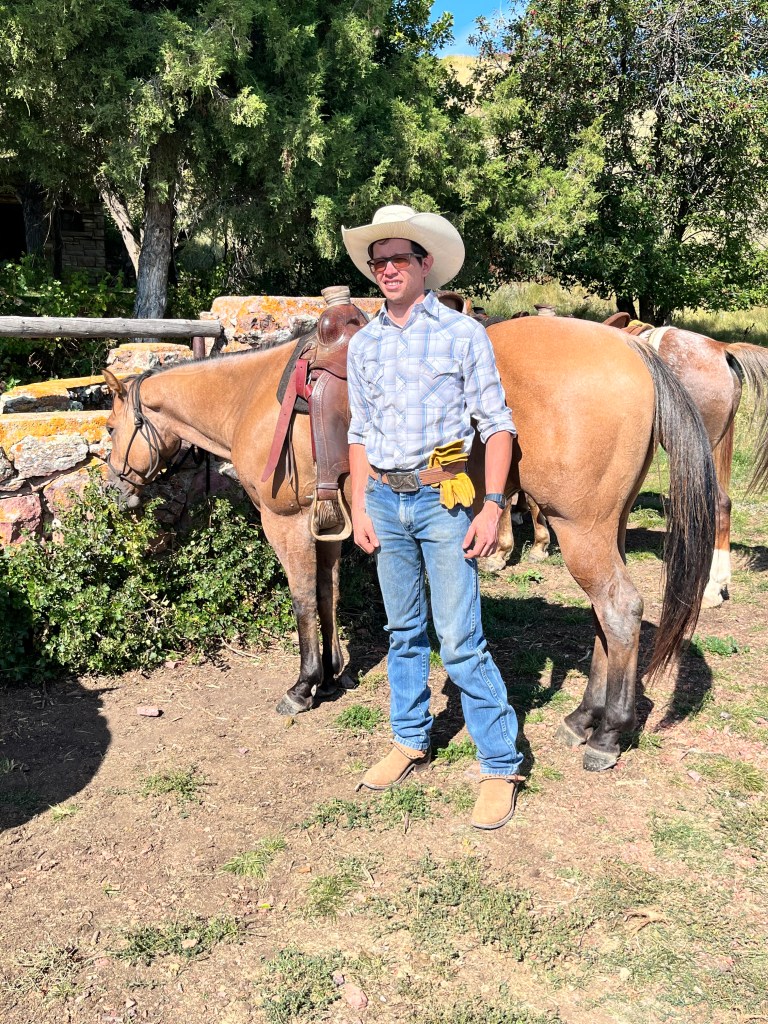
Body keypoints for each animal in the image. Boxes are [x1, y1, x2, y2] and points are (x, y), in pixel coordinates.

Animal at [102, 311, 717, 772]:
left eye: (109, 429)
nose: (114, 490)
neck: (252, 398)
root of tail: (633, 349)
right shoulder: (332, 526)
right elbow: (327, 596)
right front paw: (336, 673)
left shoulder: (286, 521)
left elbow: (303, 600)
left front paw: (304, 684)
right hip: (599, 530)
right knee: (604, 618)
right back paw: (583, 718)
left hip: (580, 529)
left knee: (620, 610)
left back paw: (609, 734)